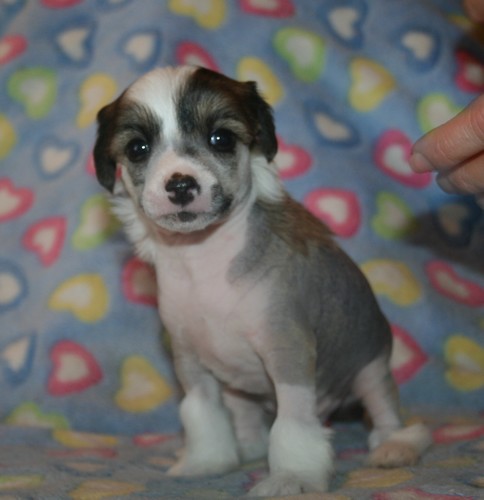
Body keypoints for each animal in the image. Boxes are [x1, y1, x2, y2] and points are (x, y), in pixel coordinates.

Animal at [93, 66, 431, 496]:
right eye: (138, 148)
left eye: (221, 138)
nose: (181, 184)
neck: (203, 259)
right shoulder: (191, 362)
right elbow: (202, 414)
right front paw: (206, 462)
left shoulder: (287, 351)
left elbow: (293, 425)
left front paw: (293, 476)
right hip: (241, 387)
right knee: (247, 419)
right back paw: (249, 447)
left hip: (370, 368)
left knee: (386, 414)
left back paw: (394, 448)